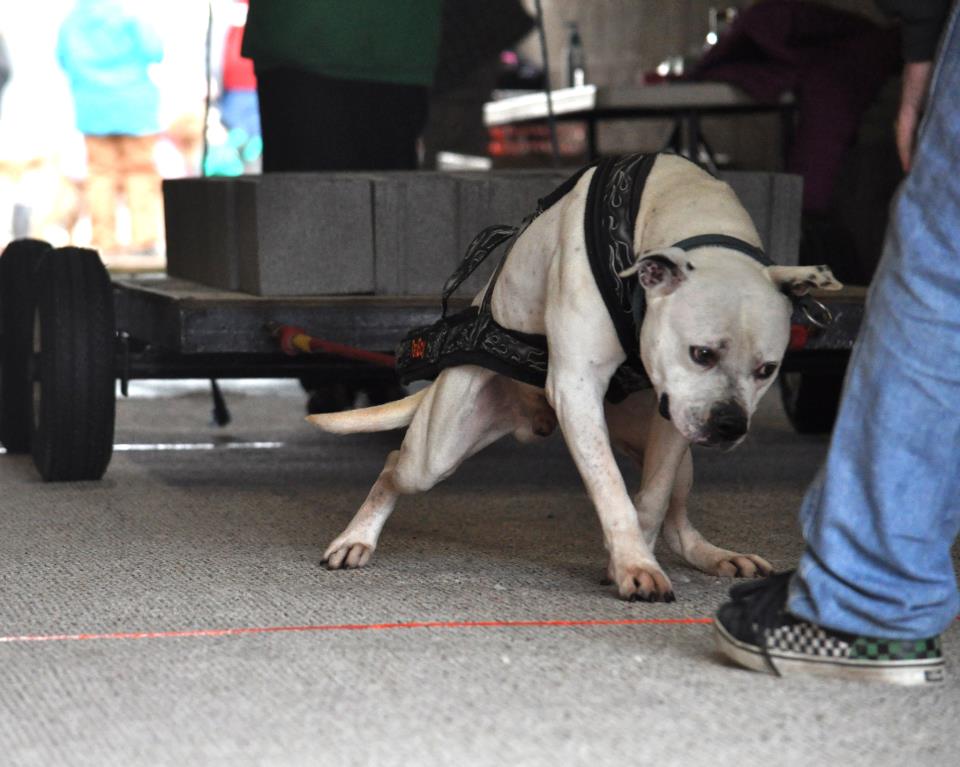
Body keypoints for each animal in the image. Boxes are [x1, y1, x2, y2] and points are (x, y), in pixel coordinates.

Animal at [308, 153, 840, 604]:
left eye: (767, 370)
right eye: (702, 353)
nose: (730, 425)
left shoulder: (674, 415)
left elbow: (649, 499)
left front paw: (629, 560)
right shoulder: (578, 390)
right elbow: (612, 490)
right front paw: (634, 564)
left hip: (668, 447)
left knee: (676, 519)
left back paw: (717, 556)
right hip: (436, 453)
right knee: (394, 465)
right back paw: (355, 539)